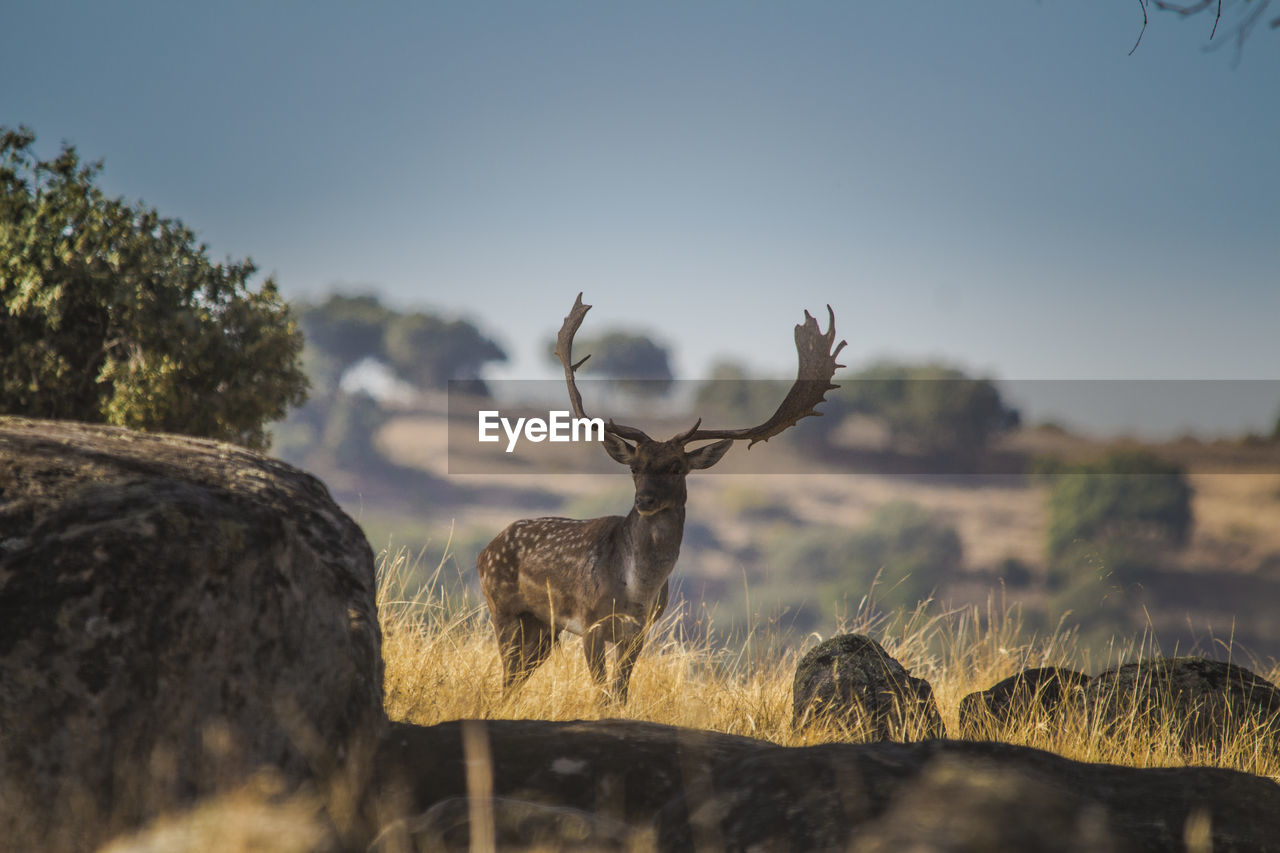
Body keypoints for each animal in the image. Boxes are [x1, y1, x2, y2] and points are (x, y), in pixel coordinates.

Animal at [476, 292, 844, 696]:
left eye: (676, 467)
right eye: (634, 467)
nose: (645, 501)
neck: (637, 589)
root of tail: (484, 551)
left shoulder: (640, 632)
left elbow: (619, 693)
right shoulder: (590, 621)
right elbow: (602, 693)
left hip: (543, 626)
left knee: (513, 681)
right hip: (504, 609)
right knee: (508, 677)